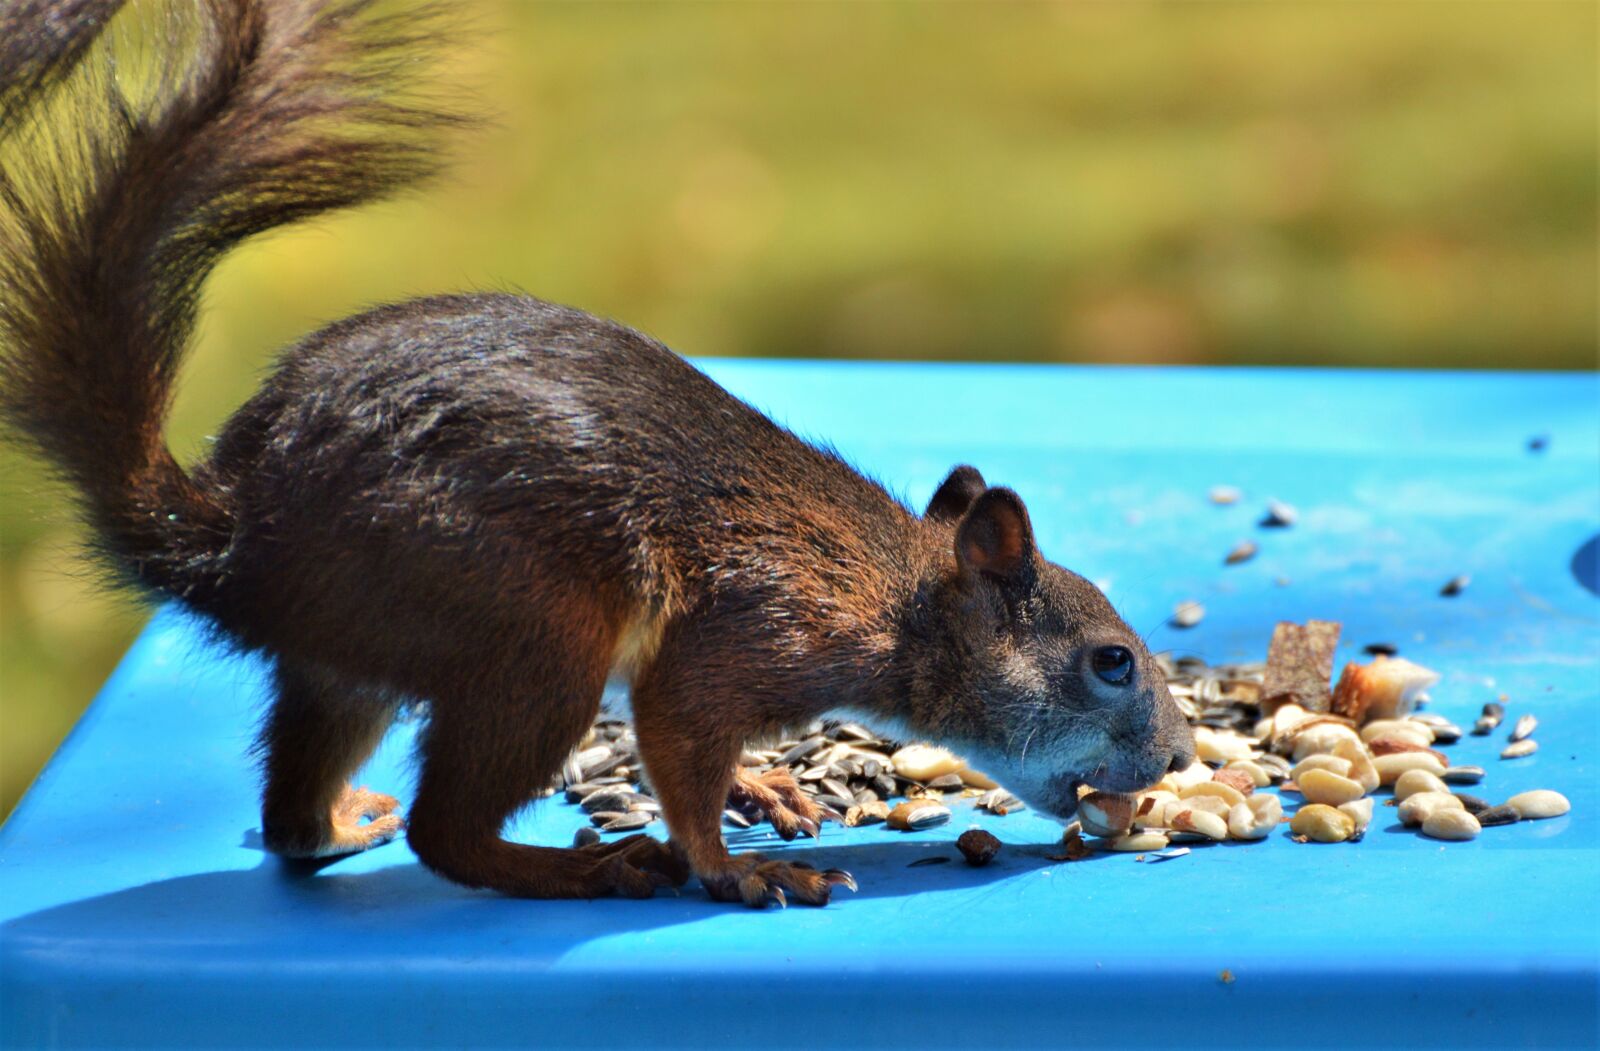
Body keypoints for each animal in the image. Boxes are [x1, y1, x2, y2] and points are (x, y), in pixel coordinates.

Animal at [0, 0, 1193, 907]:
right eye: (1111, 661)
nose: (1178, 759)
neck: (894, 593)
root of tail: (241, 544)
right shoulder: (753, 630)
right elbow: (678, 728)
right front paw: (734, 864)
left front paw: (766, 791)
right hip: (529, 623)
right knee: (447, 832)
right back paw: (590, 867)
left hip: (351, 663)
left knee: (295, 816)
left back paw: (342, 818)